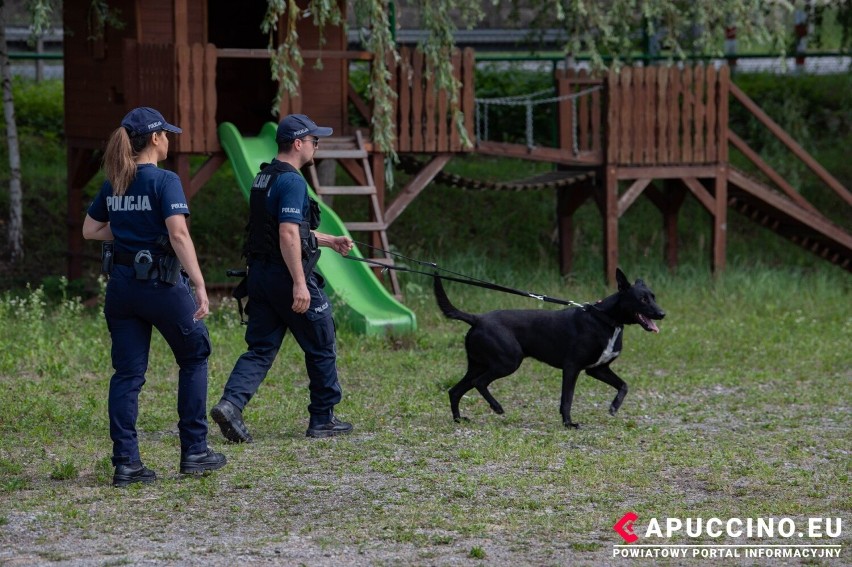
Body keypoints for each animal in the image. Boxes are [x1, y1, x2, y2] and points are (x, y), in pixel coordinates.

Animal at [432, 268, 664, 428]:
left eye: (653, 296)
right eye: (642, 299)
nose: (662, 314)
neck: (606, 319)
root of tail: (477, 319)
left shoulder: (598, 369)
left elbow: (624, 385)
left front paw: (614, 407)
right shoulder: (572, 368)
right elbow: (567, 399)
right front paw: (569, 423)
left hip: (478, 365)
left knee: (455, 390)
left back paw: (458, 419)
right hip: (507, 362)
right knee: (479, 383)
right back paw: (496, 407)